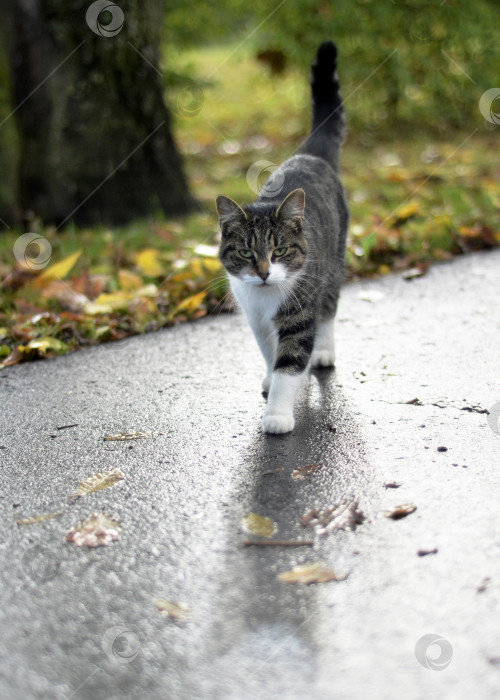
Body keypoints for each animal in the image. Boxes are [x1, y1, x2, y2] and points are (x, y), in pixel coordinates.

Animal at [217, 41, 350, 432]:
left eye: (279, 251)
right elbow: (270, 352)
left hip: (333, 266)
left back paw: (323, 352)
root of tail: (309, 154)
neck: (265, 297)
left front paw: (277, 415)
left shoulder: (299, 314)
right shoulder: (255, 318)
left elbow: (289, 363)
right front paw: (269, 377)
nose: (263, 273)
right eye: (246, 253)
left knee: (329, 310)